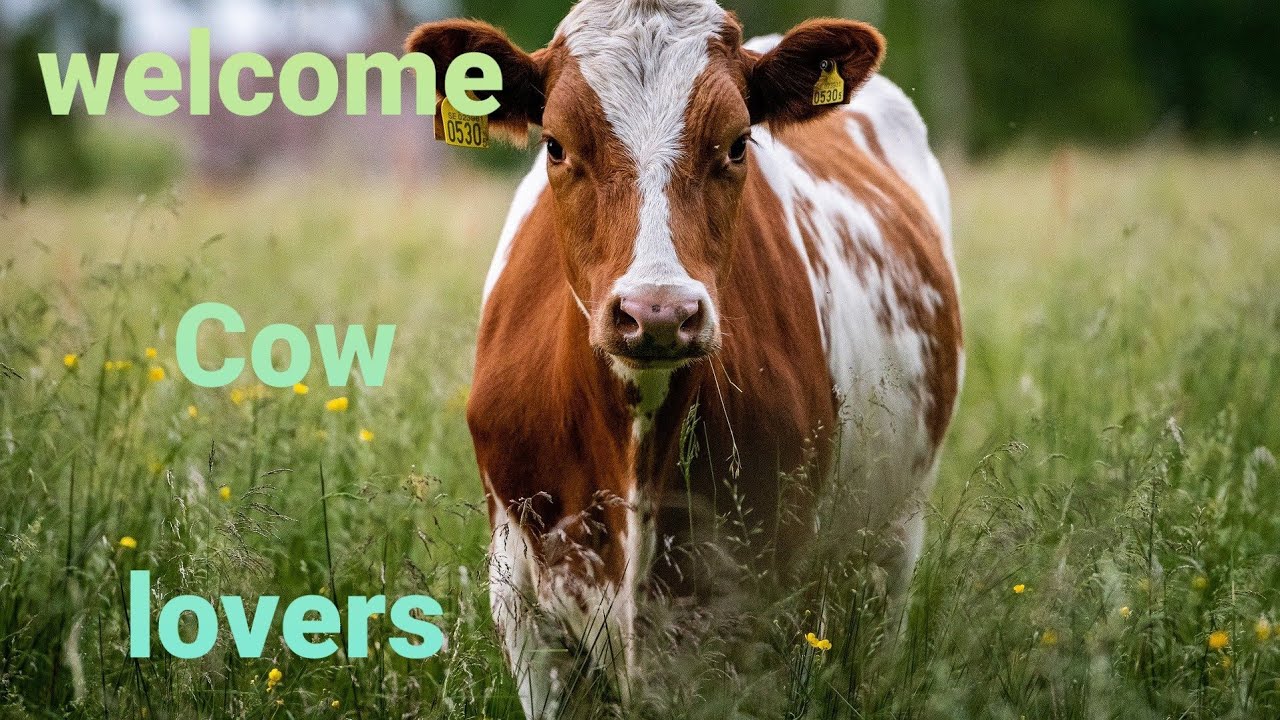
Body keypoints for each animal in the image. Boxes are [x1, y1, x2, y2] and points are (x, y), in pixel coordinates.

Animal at [406, 0, 962, 716]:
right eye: (556, 144)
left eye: (737, 143)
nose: (658, 311)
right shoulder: (524, 606)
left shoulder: (764, 603)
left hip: (891, 543)